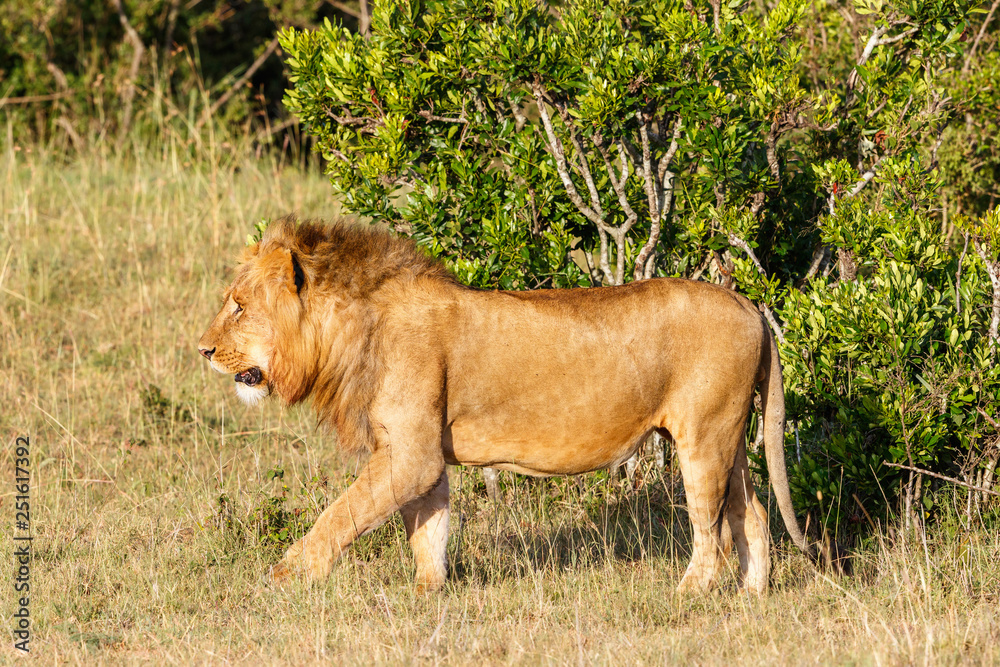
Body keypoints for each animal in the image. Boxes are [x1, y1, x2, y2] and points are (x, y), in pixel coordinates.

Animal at [198, 216, 814, 594]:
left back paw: (688, 594)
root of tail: (749, 304)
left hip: (704, 438)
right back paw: (752, 598)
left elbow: (340, 513)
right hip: (727, 437)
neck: (352, 332)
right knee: (753, 513)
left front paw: (287, 574)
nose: (202, 350)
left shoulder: (410, 455)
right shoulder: (421, 455)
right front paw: (427, 593)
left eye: (238, 306)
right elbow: (428, 529)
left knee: (713, 529)